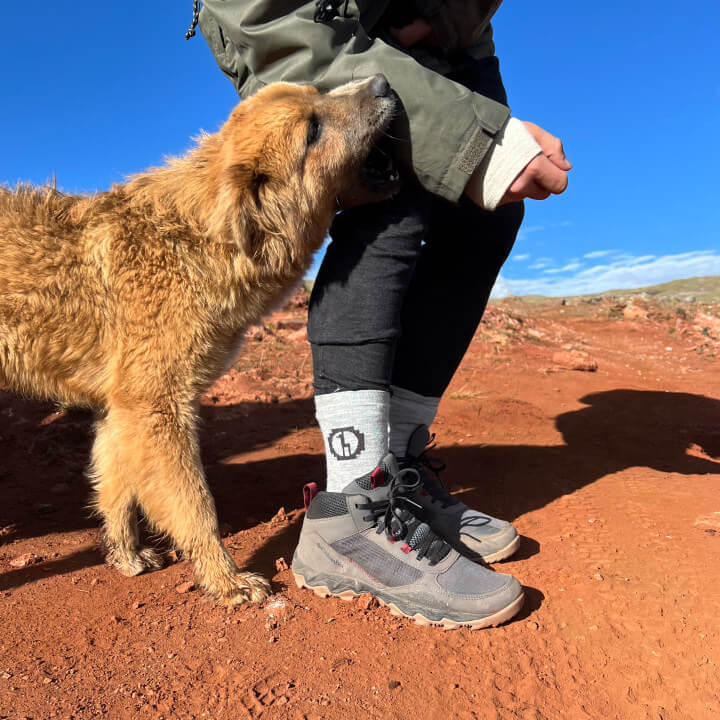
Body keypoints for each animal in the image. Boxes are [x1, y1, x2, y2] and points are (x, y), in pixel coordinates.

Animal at [0, 74, 396, 600]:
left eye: (318, 91)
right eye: (312, 129)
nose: (384, 81)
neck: (195, 243)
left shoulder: (122, 410)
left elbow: (115, 491)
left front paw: (126, 557)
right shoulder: (159, 407)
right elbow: (194, 505)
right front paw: (225, 579)